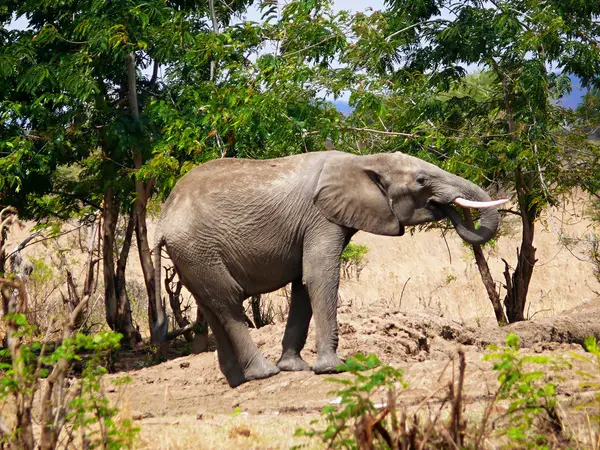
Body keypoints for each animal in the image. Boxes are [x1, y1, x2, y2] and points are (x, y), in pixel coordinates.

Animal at [154, 150, 506, 386]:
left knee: (212, 307)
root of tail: (164, 217)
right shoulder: (320, 218)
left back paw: (239, 380)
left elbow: (302, 283)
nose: (448, 208)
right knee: (227, 303)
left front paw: (295, 367)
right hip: (199, 248)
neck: (363, 161)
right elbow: (319, 275)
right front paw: (334, 367)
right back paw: (263, 374)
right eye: (421, 181)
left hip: (193, 255)